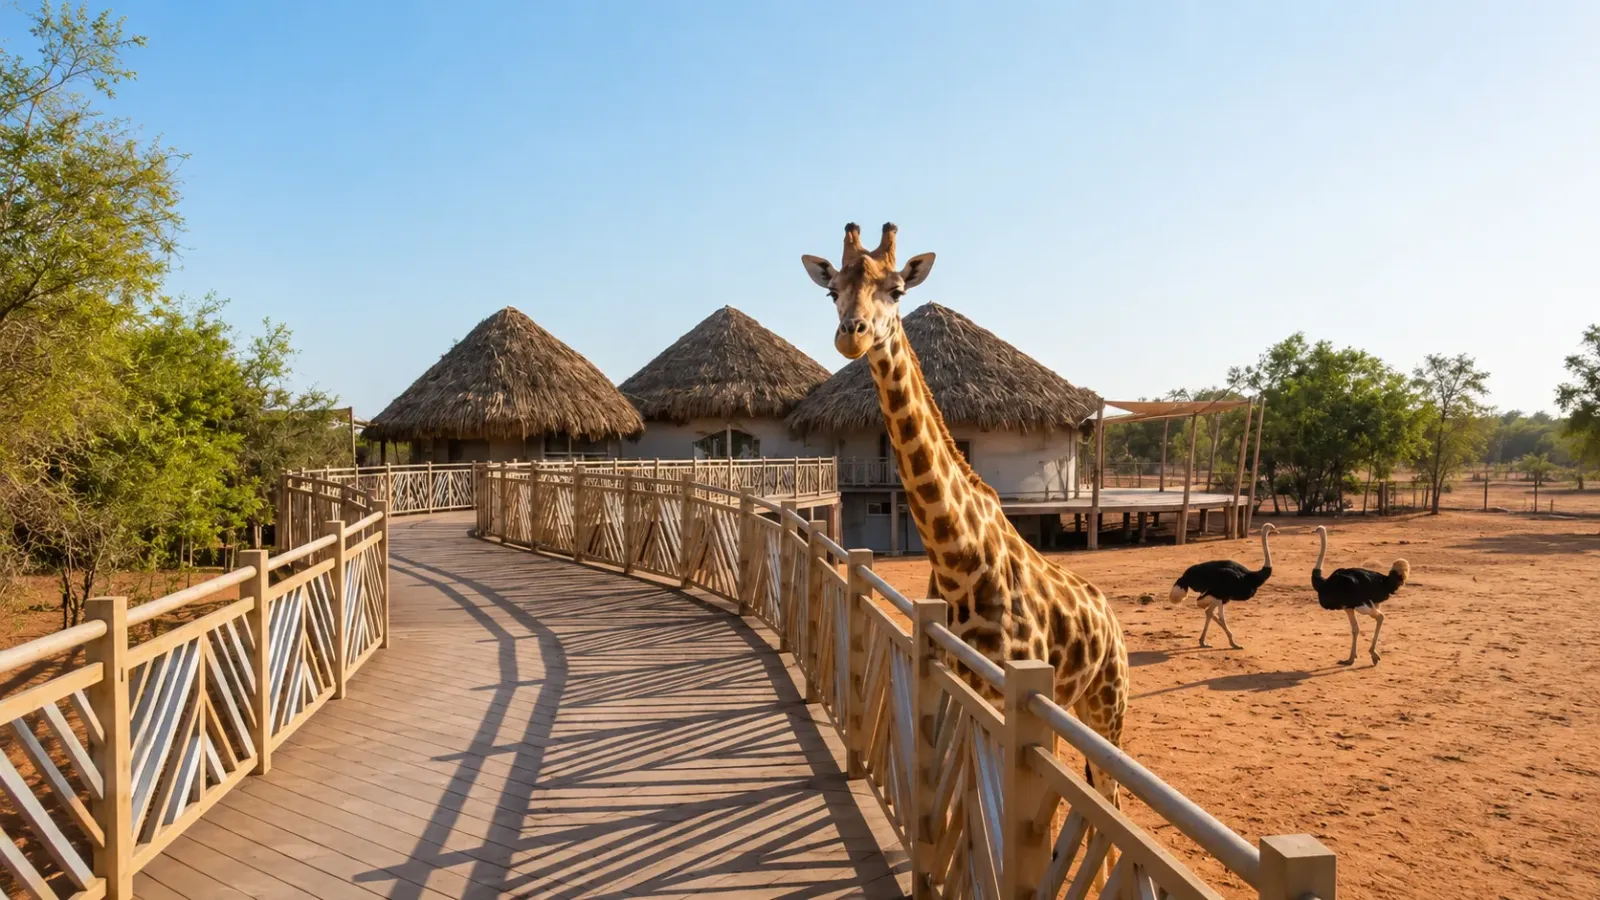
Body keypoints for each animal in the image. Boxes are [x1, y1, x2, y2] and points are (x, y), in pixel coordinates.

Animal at [800, 222, 1131, 816]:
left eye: (897, 291)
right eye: (832, 290)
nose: (851, 336)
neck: (960, 563)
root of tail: (1113, 620)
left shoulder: (1010, 699)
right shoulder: (963, 684)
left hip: (1108, 706)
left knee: (1113, 799)